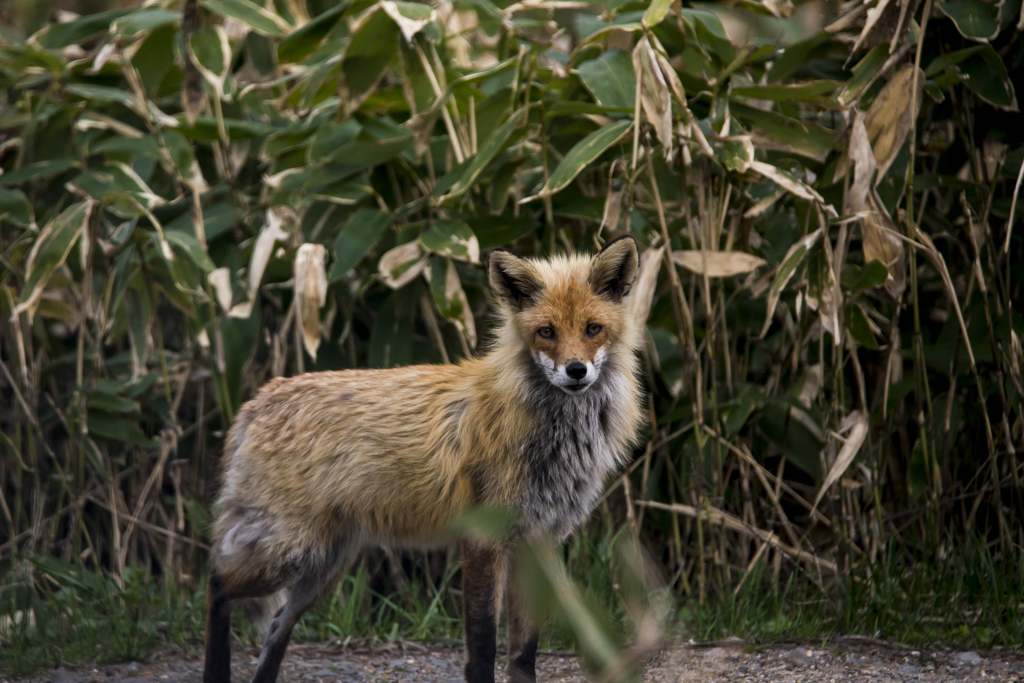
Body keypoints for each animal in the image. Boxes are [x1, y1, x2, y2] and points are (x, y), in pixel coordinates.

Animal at [203, 236, 643, 683]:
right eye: (546, 332)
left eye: (592, 329)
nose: (576, 371)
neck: (553, 438)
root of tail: (258, 399)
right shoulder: (483, 539)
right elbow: (483, 646)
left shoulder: (535, 543)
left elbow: (523, 654)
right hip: (289, 551)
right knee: (218, 584)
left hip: (322, 567)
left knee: (276, 626)